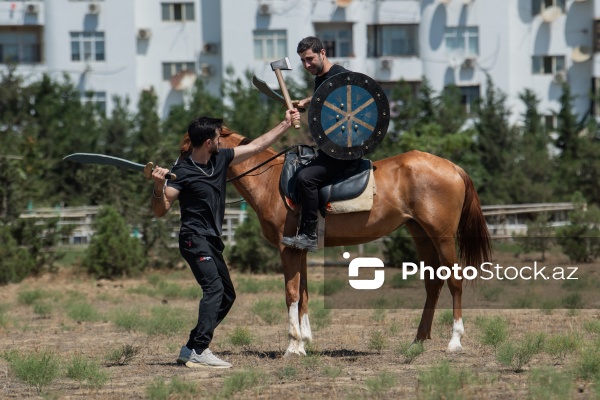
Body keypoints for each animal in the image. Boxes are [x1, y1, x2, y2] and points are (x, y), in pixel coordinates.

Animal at [180, 128, 490, 356]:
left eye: (187, 148)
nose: (175, 174)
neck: (270, 180)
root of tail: (453, 167)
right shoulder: (300, 249)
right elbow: (303, 293)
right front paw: (304, 341)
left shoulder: (286, 248)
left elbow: (291, 294)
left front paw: (293, 346)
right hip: (420, 233)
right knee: (433, 283)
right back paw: (419, 340)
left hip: (442, 236)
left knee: (454, 280)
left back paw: (454, 341)